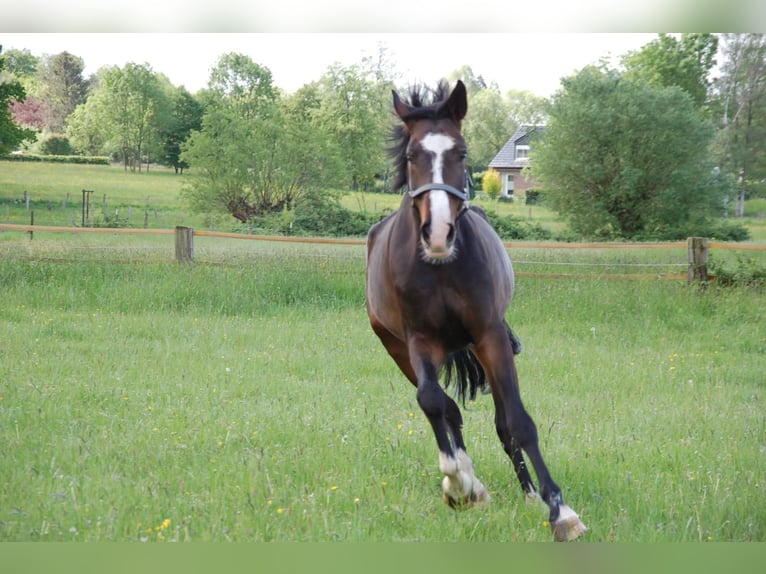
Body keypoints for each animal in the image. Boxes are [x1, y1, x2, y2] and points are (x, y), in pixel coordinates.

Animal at [366, 79, 588, 544]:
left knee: (503, 422)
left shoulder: (489, 335)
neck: (442, 268)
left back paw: (529, 494)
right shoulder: (418, 341)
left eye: (462, 153)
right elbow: (433, 402)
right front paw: (459, 485)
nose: (437, 233)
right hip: (398, 349)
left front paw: (560, 512)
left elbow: (518, 422)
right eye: (411, 156)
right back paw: (471, 483)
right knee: (448, 407)